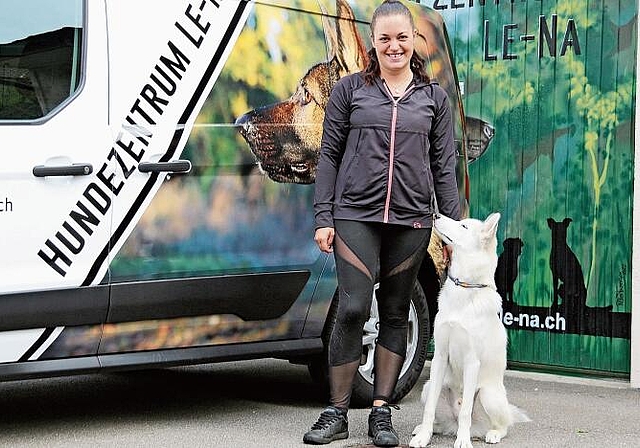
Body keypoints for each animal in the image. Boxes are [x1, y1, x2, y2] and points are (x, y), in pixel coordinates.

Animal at [412, 214, 528, 448]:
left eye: (463, 226)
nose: (435, 215)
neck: (464, 287)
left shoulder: (472, 362)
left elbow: (465, 410)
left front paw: (463, 441)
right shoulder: (439, 357)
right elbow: (429, 409)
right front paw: (423, 437)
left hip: (488, 396)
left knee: (502, 425)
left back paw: (490, 434)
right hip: (429, 388)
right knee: (441, 420)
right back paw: (430, 429)